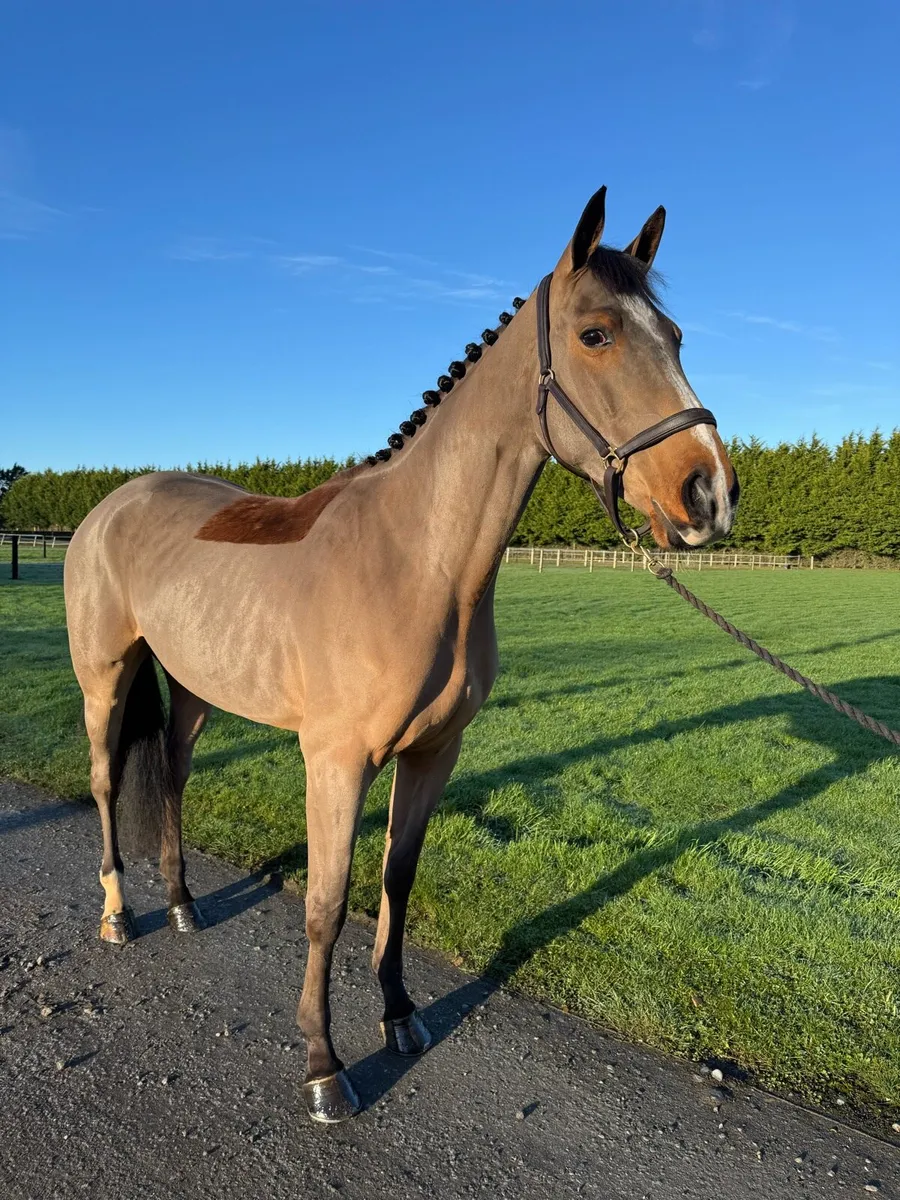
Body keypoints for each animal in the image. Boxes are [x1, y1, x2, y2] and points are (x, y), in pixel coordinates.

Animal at [64, 186, 738, 1123]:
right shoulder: (335, 761)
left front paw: (400, 1017)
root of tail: (112, 504)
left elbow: (397, 882)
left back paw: (184, 904)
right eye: (596, 334)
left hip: (196, 690)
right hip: (105, 678)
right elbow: (326, 902)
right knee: (102, 782)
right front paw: (323, 1066)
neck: (416, 562)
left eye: (674, 337)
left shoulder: (433, 754)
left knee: (169, 776)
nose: (708, 492)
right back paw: (121, 915)